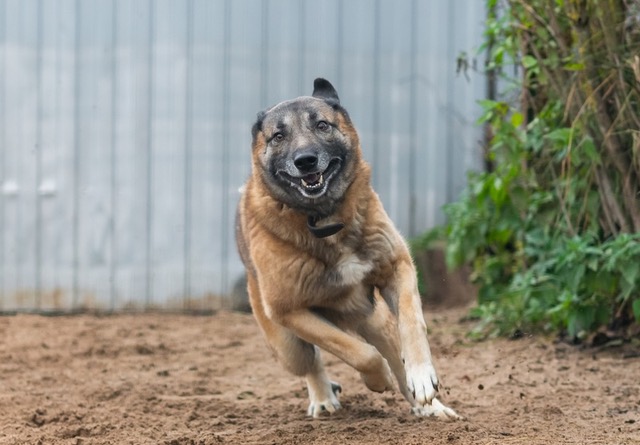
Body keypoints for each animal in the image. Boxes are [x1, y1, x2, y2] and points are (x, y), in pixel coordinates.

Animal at [236, 78, 460, 419]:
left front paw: (422, 378)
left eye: (322, 125)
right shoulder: (289, 311)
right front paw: (377, 380)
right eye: (278, 136)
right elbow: (358, 353)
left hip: (376, 321)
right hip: (287, 346)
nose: (305, 160)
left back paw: (428, 406)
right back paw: (323, 397)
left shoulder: (398, 267)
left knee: (394, 353)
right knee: (312, 362)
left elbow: (411, 322)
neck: (324, 220)